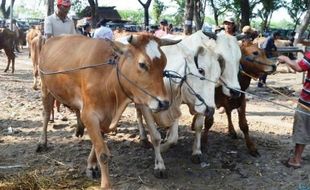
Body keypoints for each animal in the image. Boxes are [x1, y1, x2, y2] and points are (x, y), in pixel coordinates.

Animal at [37, 34, 180, 189]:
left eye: (164, 63)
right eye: (142, 64)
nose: (164, 103)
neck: (107, 80)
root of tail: (51, 39)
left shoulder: (114, 112)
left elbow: (98, 143)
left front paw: (91, 165)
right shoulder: (89, 114)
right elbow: (103, 154)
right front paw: (105, 184)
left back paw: (79, 129)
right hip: (45, 88)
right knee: (45, 115)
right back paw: (42, 142)